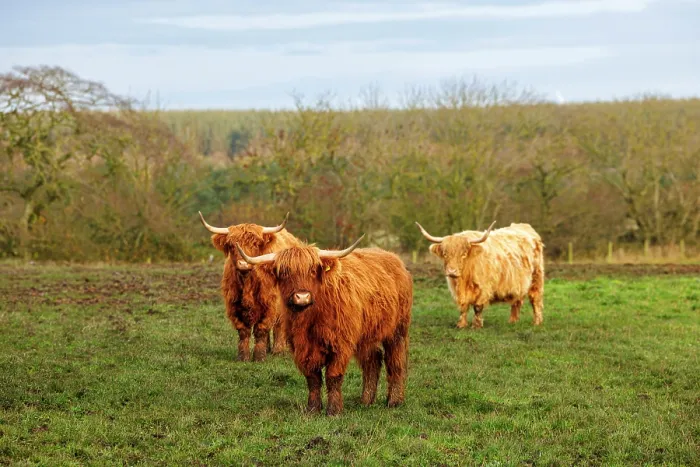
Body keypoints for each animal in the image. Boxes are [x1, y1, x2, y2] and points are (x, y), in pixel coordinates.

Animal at [199, 211, 303, 362]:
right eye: (231, 245)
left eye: (255, 244)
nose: (243, 264)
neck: (247, 282)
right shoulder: (234, 306)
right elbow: (244, 331)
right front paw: (243, 357)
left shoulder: (270, 305)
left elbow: (261, 329)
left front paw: (259, 357)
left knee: (279, 326)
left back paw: (278, 350)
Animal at [235, 235, 413, 416]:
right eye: (285, 273)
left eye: (313, 271)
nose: (302, 297)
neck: (310, 317)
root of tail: (393, 258)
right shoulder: (302, 347)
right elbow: (312, 378)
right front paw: (313, 409)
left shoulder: (340, 344)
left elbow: (333, 376)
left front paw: (334, 410)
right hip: (367, 335)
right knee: (373, 360)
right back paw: (366, 400)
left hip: (397, 330)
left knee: (395, 361)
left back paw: (394, 401)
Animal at [415, 220, 544, 329]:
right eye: (445, 254)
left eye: (464, 254)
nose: (452, 271)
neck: (463, 280)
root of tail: (525, 226)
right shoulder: (457, 291)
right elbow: (463, 307)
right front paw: (461, 325)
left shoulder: (484, 288)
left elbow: (477, 307)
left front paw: (476, 326)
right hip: (519, 283)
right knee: (517, 301)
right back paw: (512, 321)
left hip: (536, 278)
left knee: (535, 300)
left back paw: (537, 322)